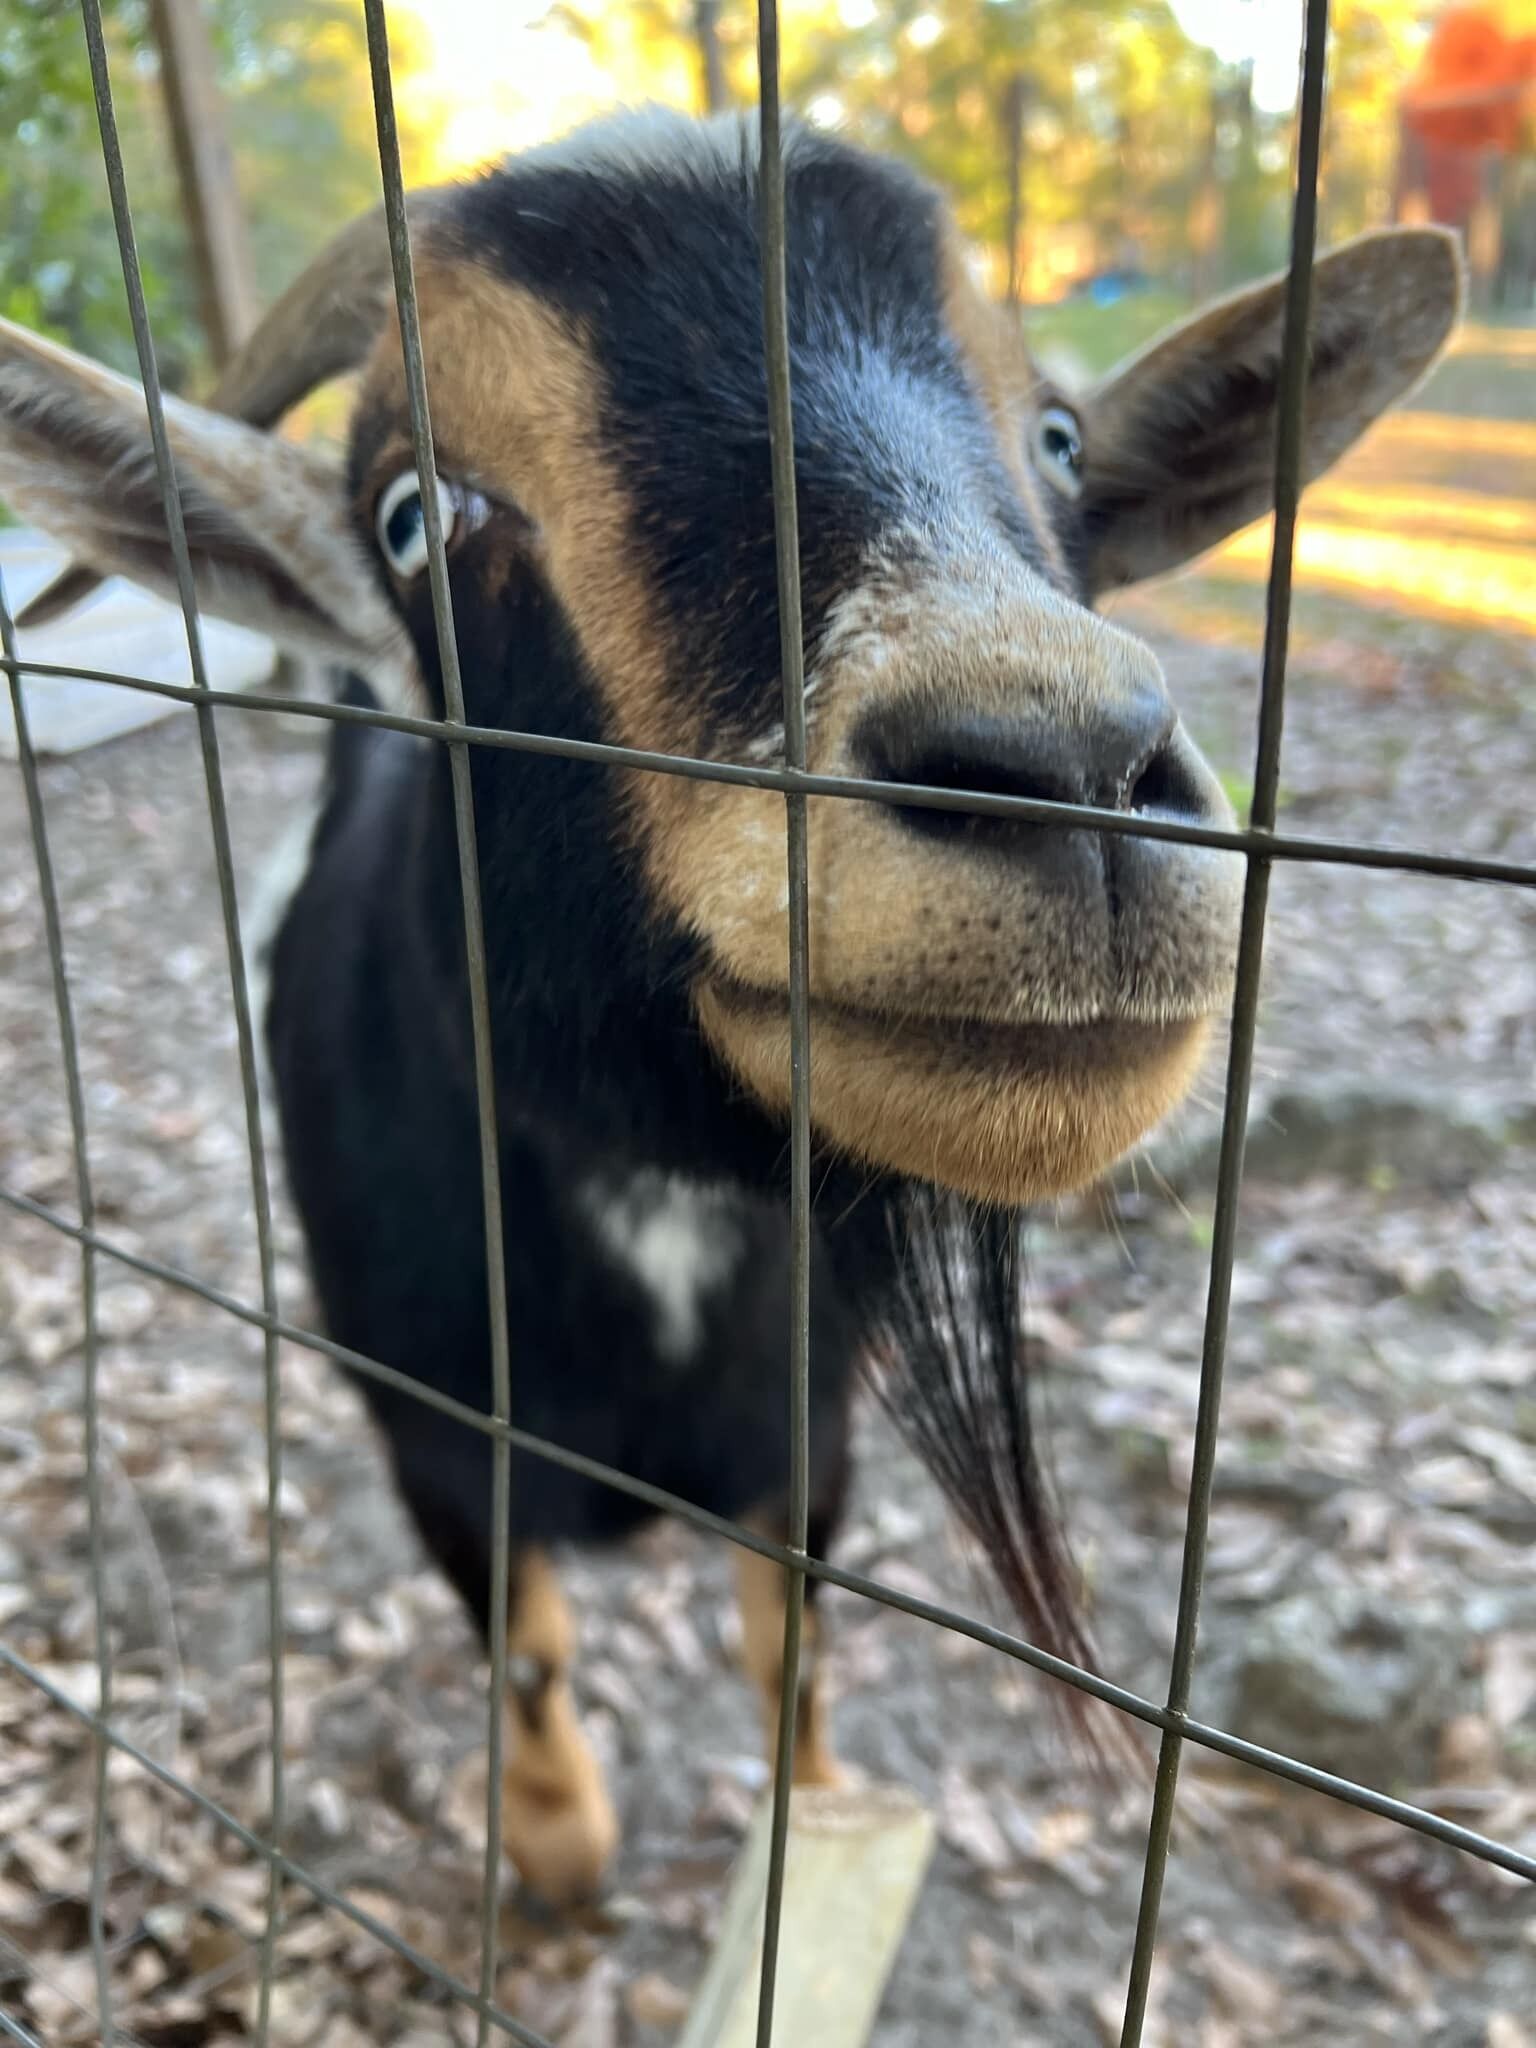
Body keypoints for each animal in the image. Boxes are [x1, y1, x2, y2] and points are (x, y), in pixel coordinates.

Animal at [0, 110, 1461, 1905]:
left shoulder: (809, 1428)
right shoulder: (434, 1433)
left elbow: (790, 1643)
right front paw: (553, 1839)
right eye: (415, 513)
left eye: (1056, 437)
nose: (1065, 766)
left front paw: (809, 1823)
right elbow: (531, 1653)